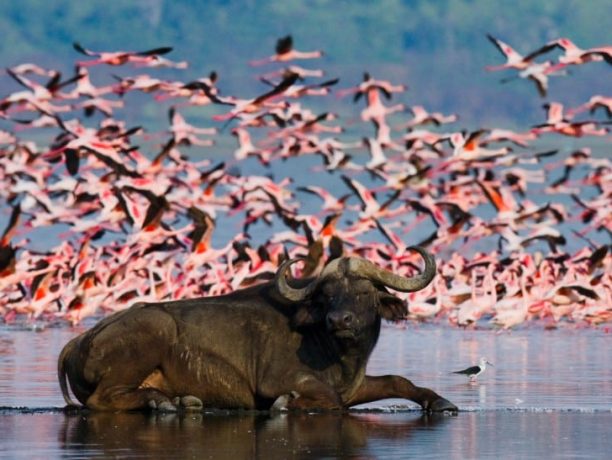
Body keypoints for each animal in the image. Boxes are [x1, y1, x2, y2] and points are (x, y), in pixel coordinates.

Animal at [58, 248, 460, 414]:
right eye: (328, 295)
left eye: (363, 292)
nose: (339, 320)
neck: (338, 353)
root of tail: (78, 341)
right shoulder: (277, 380)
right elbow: (326, 398)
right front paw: (287, 404)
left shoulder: (356, 386)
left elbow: (398, 381)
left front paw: (441, 402)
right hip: (152, 331)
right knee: (101, 400)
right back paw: (164, 404)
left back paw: (181, 402)